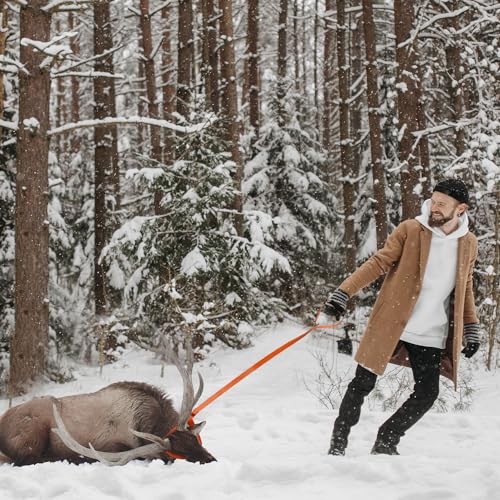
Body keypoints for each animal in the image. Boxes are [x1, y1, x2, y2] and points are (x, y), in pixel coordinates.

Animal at [0, 348, 216, 464]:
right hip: (32, 433)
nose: (212, 460)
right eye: (176, 454)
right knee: (28, 459)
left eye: (195, 440)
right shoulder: (111, 446)